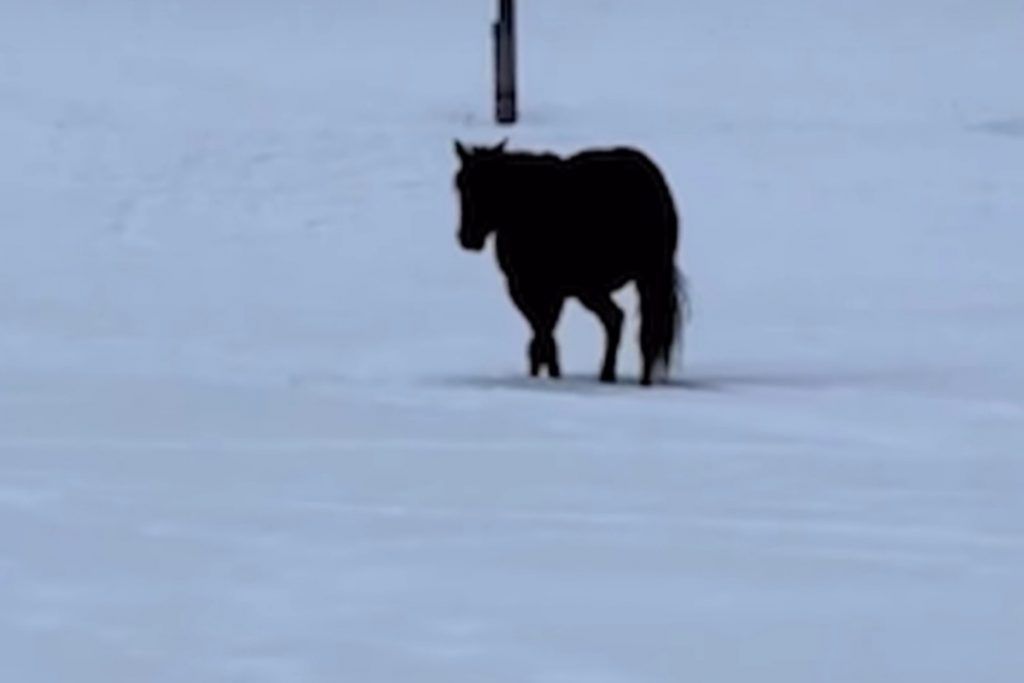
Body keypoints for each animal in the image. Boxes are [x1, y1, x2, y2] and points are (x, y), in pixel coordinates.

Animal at [453, 139, 688, 386]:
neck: (524, 208)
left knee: (633, 325)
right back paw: (615, 375)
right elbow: (543, 334)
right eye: (460, 184)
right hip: (614, 284)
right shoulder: (543, 291)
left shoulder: (531, 289)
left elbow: (543, 334)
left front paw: (547, 376)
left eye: (489, 185)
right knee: (622, 321)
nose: (468, 239)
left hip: (623, 281)